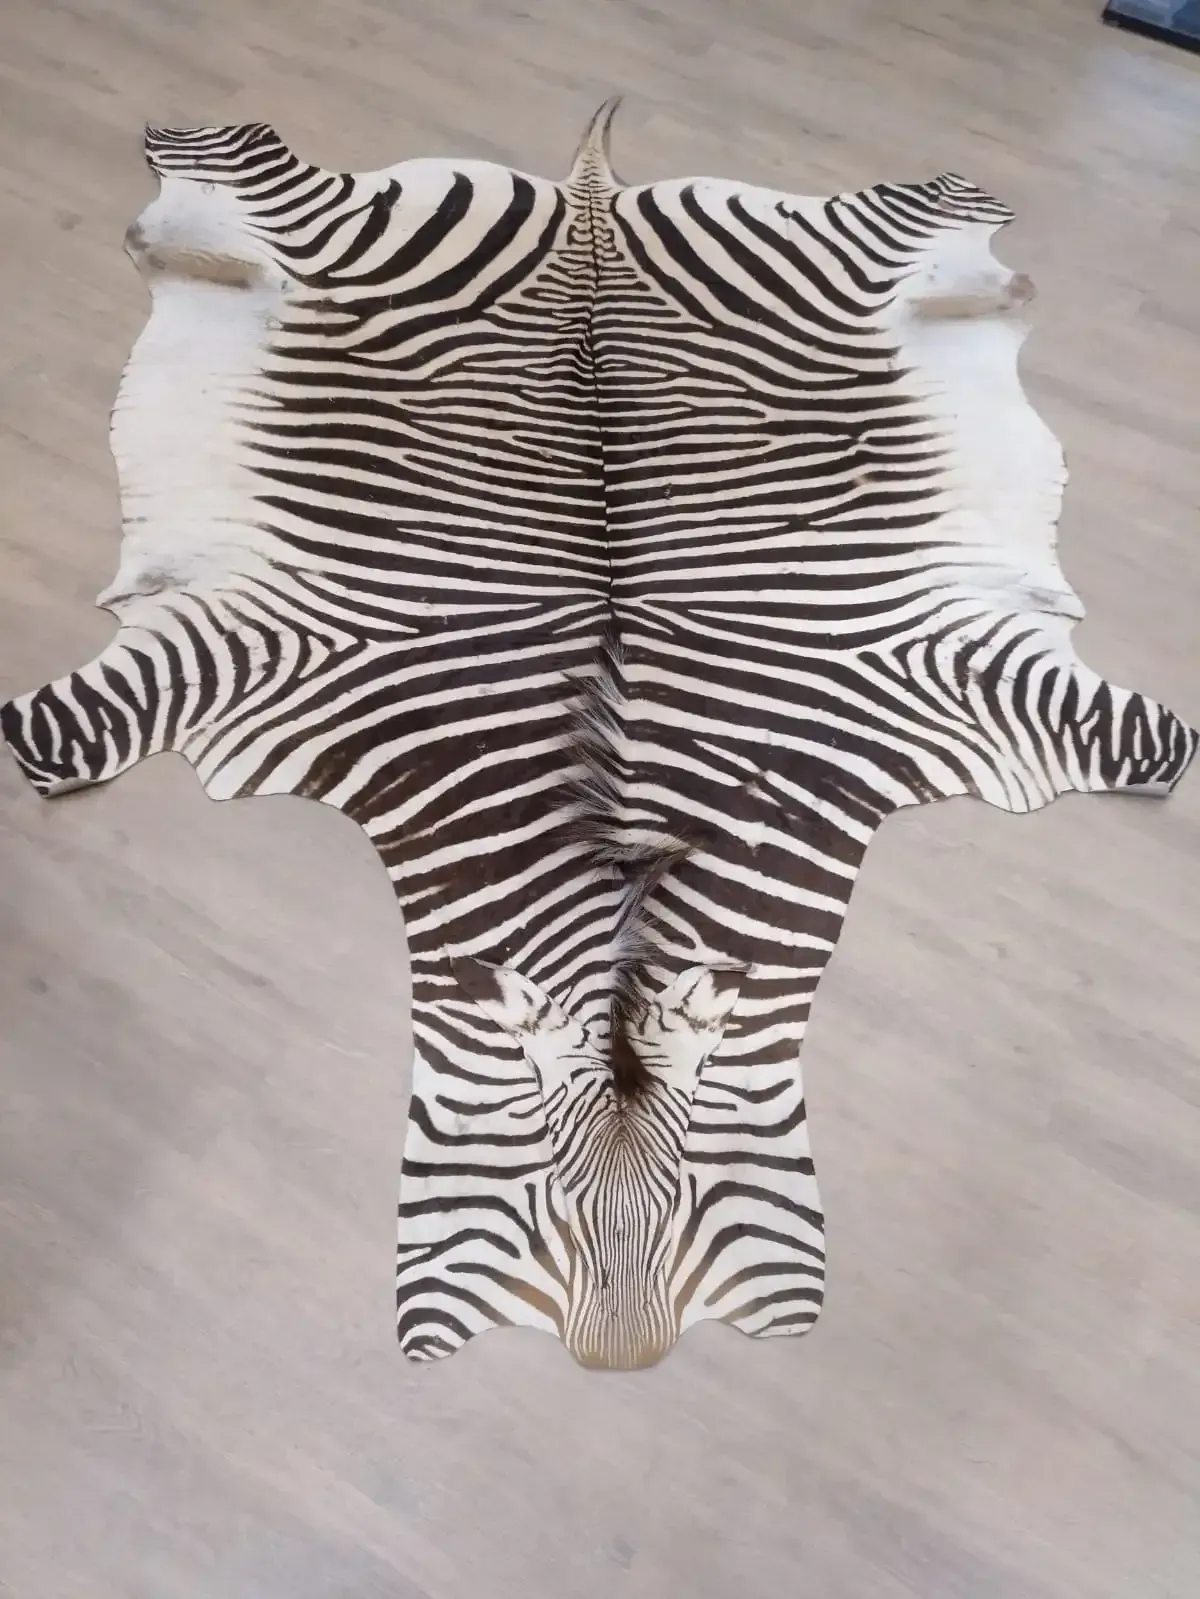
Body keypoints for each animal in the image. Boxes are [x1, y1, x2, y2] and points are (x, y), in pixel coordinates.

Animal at [1, 107, 1194, 1371]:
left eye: (708, 1206)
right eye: (536, 1211)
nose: (622, 1363)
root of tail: (591, 203)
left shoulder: (951, 672)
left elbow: (1148, 737)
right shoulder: (251, 649)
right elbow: (62, 727)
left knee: (925, 225)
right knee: (257, 182)